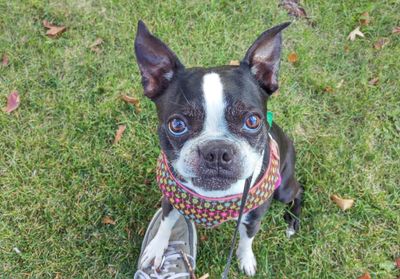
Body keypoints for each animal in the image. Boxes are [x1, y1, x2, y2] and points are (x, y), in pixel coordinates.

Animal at [134, 20, 304, 276]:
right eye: (177, 125)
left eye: (252, 121)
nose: (216, 152)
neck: (212, 198)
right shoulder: (171, 199)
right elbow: (165, 222)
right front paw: (156, 248)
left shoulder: (253, 217)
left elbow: (246, 240)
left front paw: (246, 259)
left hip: (283, 189)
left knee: (299, 191)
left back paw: (293, 221)